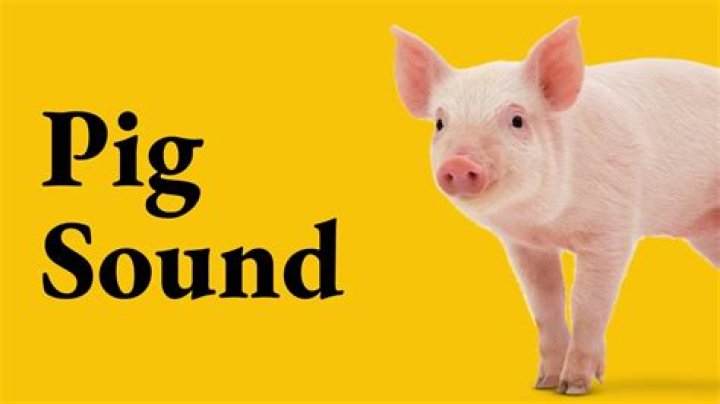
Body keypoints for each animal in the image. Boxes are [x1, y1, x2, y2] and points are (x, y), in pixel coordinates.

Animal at [392, 17, 719, 395]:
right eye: (440, 123)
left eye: (517, 120)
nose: (458, 163)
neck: (547, 222)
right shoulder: (524, 244)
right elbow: (544, 303)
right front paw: (544, 383)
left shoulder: (612, 229)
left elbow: (586, 304)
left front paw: (574, 386)